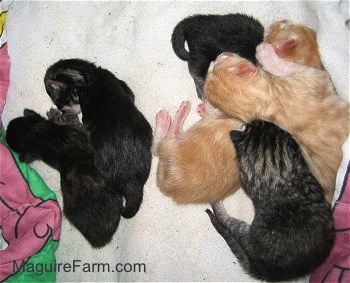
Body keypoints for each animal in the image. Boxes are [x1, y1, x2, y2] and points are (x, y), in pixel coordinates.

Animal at [5, 109, 123, 248]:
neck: (41, 137)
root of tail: (99, 240)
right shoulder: (79, 132)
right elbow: (77, 125)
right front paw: (66, 117)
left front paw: (55, 116)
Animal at [43, 59, 153, 220]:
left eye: (64, 103)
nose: (65, 112)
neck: (89, 75)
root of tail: (132, 180)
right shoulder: (123, 85)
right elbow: (130, 95)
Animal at [205, 19, 350, 202]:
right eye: (286, 26)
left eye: (216, 63)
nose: (280, 20)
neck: (269, 104)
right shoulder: (314, 76)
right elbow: (285, 66)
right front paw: (264, 51)